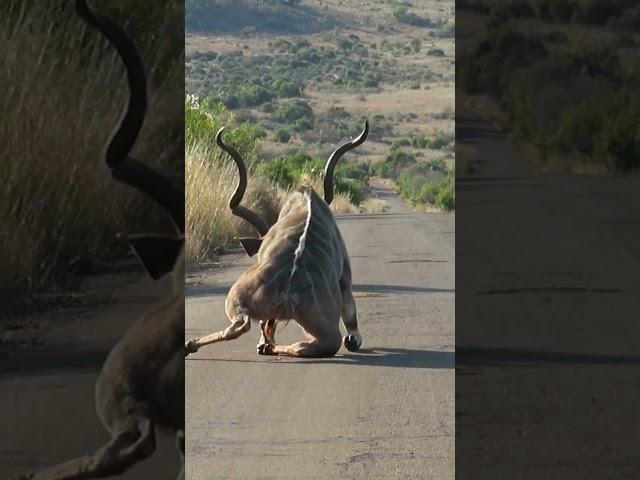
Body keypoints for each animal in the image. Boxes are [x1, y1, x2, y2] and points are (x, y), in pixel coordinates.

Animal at [184, 122, 370, 358]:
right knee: (299, 342)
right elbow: (351, 324)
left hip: (238, 296)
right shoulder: (345, 278)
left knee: (246, 324)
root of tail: (288, 292)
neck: (305, 200)